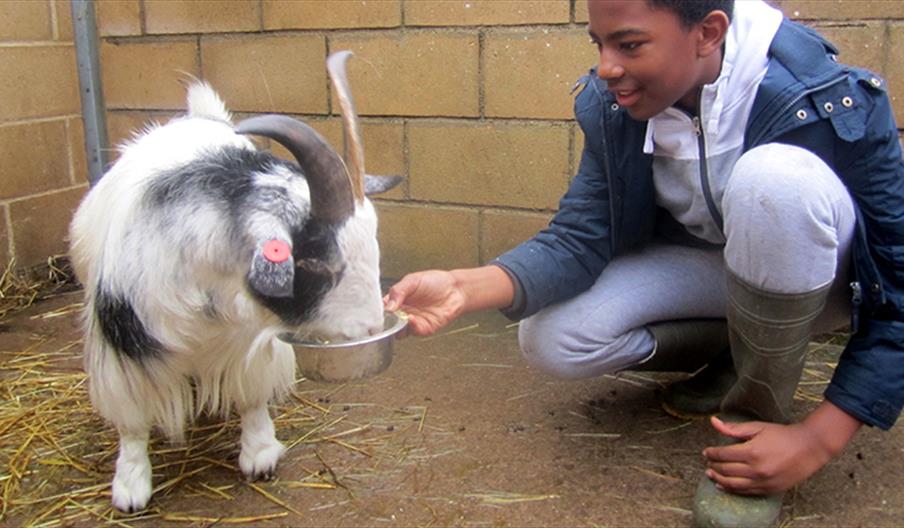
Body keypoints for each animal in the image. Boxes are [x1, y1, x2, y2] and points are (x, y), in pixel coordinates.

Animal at [67, 52, 400, 512]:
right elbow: (132, 421)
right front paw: (131, 486)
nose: (371, 328)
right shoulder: (124, 346)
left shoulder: (252, 342)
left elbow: (252, 394)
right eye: (316, 262)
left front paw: (260, 454)